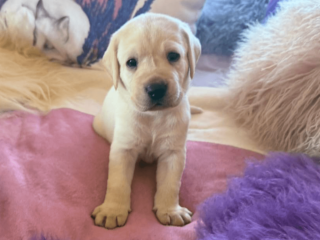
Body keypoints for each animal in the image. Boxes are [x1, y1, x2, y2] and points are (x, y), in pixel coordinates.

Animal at [91, 12, 200, 229]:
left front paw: (171, 210)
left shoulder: (173, 152)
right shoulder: (123, 149)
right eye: (131, 62)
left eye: (173, 56)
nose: (156, 88)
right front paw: (112, 210)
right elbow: (117, 182)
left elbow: (171, 184)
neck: (154, 116)